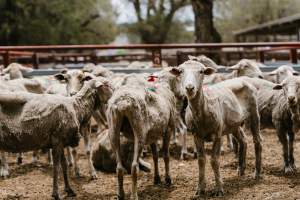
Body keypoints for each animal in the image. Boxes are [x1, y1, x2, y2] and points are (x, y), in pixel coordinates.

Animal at [169, 59, 262, 197]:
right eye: (180, 71)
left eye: (201, 71)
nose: (190, 88)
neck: (203, 110)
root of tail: (243, 79)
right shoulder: (196, 136)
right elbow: (201, 160)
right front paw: (200, 189)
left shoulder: (218, 134)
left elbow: (214, 160)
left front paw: (218, 189)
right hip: (233, 124)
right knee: (243, 141)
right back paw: (241, 169)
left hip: (254, 112)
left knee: (257, 141)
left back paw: (257, 173)